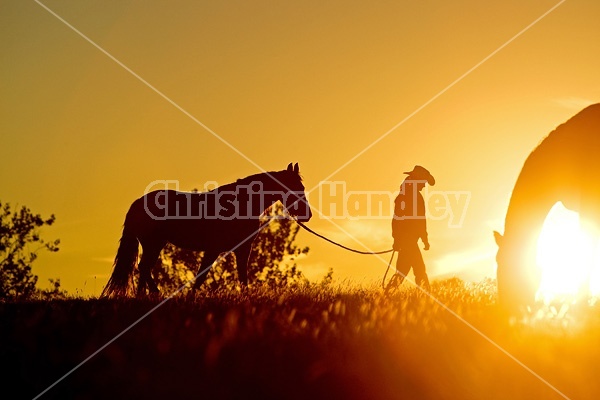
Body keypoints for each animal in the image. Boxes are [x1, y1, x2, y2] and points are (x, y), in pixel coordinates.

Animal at [101, 162, 312, 296]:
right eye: (297, 188)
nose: (307, 214)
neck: (242, 203)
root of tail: (138, 203)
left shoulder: (241, 250)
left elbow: (242, 277)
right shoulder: (216, 249)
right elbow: (203, 276)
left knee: (144, 269)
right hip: (154, 244)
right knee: (144, 268)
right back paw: (155, 294)